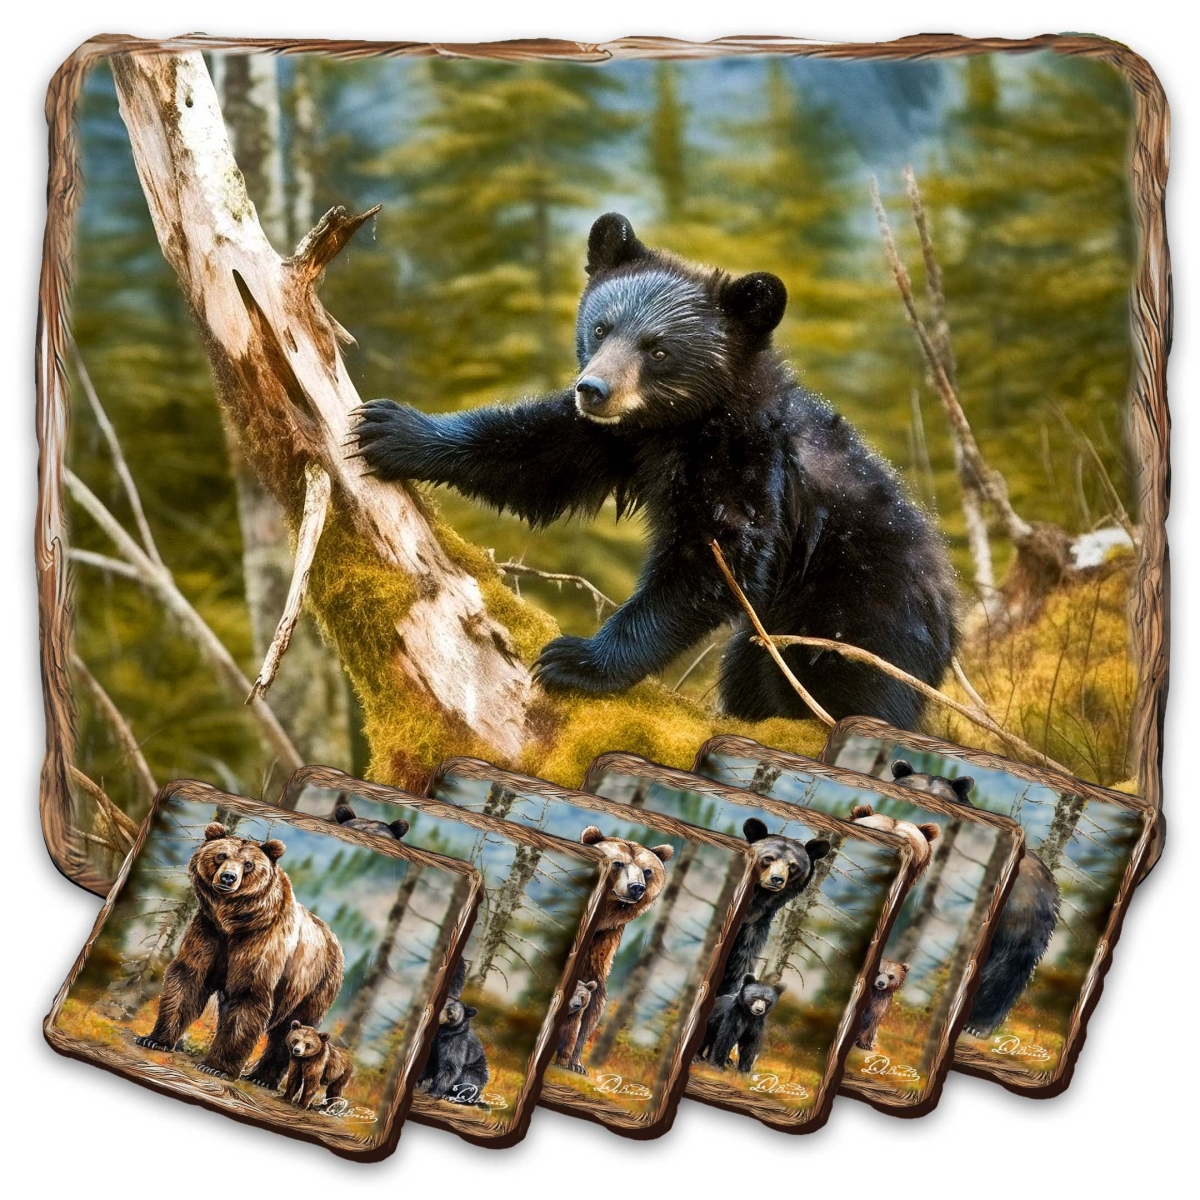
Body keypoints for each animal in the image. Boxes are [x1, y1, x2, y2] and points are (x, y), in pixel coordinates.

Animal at [135, 823, 344, 1086]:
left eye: (248, 864)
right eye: (221, 855)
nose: (228, 877)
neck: (234, 921)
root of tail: (334, 939)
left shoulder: (260, 944)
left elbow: (249, 995)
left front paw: (217, 1067)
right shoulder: (208, 933)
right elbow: (188, 978)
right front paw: (154, 1039)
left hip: (312, 984)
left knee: (293, 1025)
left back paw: (263, 1078)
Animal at [352, 212, 958, 728]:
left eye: (658, 349)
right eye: (601, 328)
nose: (593, 389)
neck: (682, 425)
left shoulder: (745, 465)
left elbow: (710, 560)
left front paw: (576, 659)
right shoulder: (617, 438)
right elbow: (538, 454)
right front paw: (391, 429)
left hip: (856, 615)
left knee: (852, 689)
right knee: (750, 676)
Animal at [556, 826, 674, 1075]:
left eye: (647, 871)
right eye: (618, 863)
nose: (636, 888)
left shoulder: (603, 941)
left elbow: (592, 1005)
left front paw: (576, 1063)